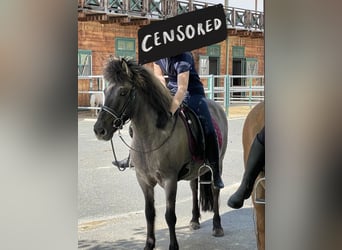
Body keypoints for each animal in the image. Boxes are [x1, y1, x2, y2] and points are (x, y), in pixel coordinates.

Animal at [93, 57, 228, 249]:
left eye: (123, 92)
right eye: (105, 91)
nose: (99, 130)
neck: (152, 137)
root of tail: (216, 106)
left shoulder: (169, 181)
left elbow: (170, 216)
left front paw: (173, 246)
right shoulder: (144, 181)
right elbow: (150, 213)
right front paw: (149, 244)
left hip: (218, 164)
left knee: (216, 191)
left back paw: (217, 226)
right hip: (196, 169)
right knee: (194, 187)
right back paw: (194, 220)